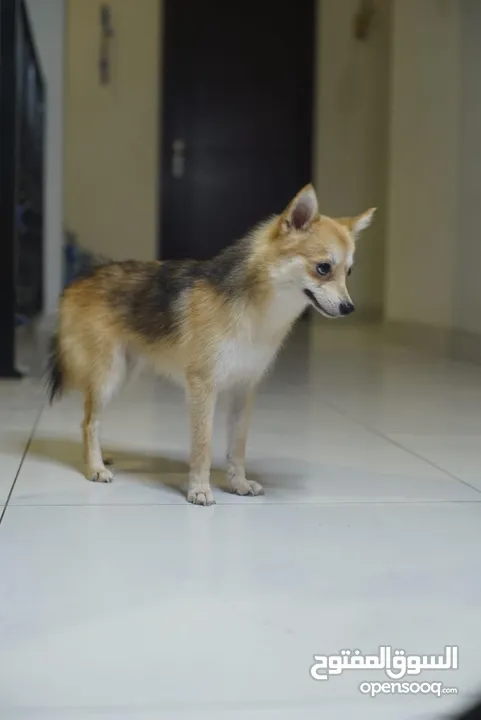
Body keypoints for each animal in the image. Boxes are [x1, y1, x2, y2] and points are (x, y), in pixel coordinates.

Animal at [47, 183, 376, 504]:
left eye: (348, 272)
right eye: (323, 268)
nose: (349, 308)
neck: (256, 311)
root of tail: (78, 280)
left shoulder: (244, 390)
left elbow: (237, 447)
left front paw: (238, 483)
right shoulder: (203, 387)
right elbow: (202, 446)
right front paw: (199, 489)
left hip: (124, 375)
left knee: (92, 421)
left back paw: (100, 458)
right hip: (108, 377)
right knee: (89, 423)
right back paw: (95, 468)